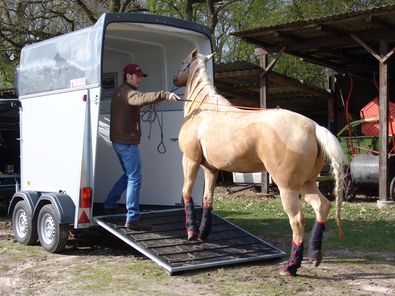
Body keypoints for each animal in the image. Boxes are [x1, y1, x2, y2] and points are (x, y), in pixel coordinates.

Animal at [175, 48, 344, 276]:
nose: (175, 79)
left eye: (183, 62)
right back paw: (315, 256)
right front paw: (202, 234)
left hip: (288, 188)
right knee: (322, 206)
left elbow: (186, 193)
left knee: (297, 220)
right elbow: (208, 199)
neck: (203, 110)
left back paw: (291, 266)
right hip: (306, 183)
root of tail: (314, 126)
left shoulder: (190, 160)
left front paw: (192, 233)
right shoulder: (211, 169)